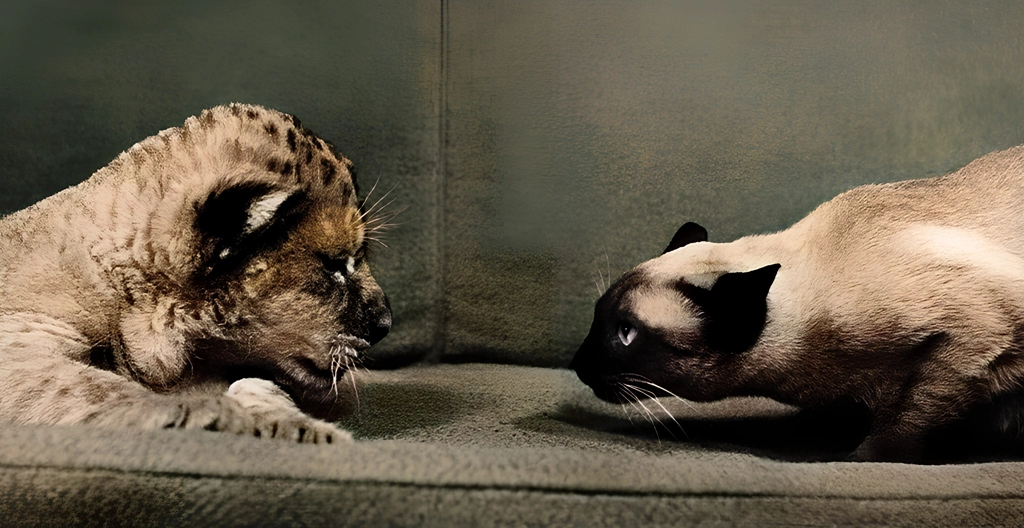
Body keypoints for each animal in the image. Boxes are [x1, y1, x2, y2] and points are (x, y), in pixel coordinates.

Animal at [569, 145, 1024, 462]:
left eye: (626, 333)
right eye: (598, 319)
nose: (577, 363)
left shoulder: (967, 343)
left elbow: (905, 422)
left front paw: (852, 459)